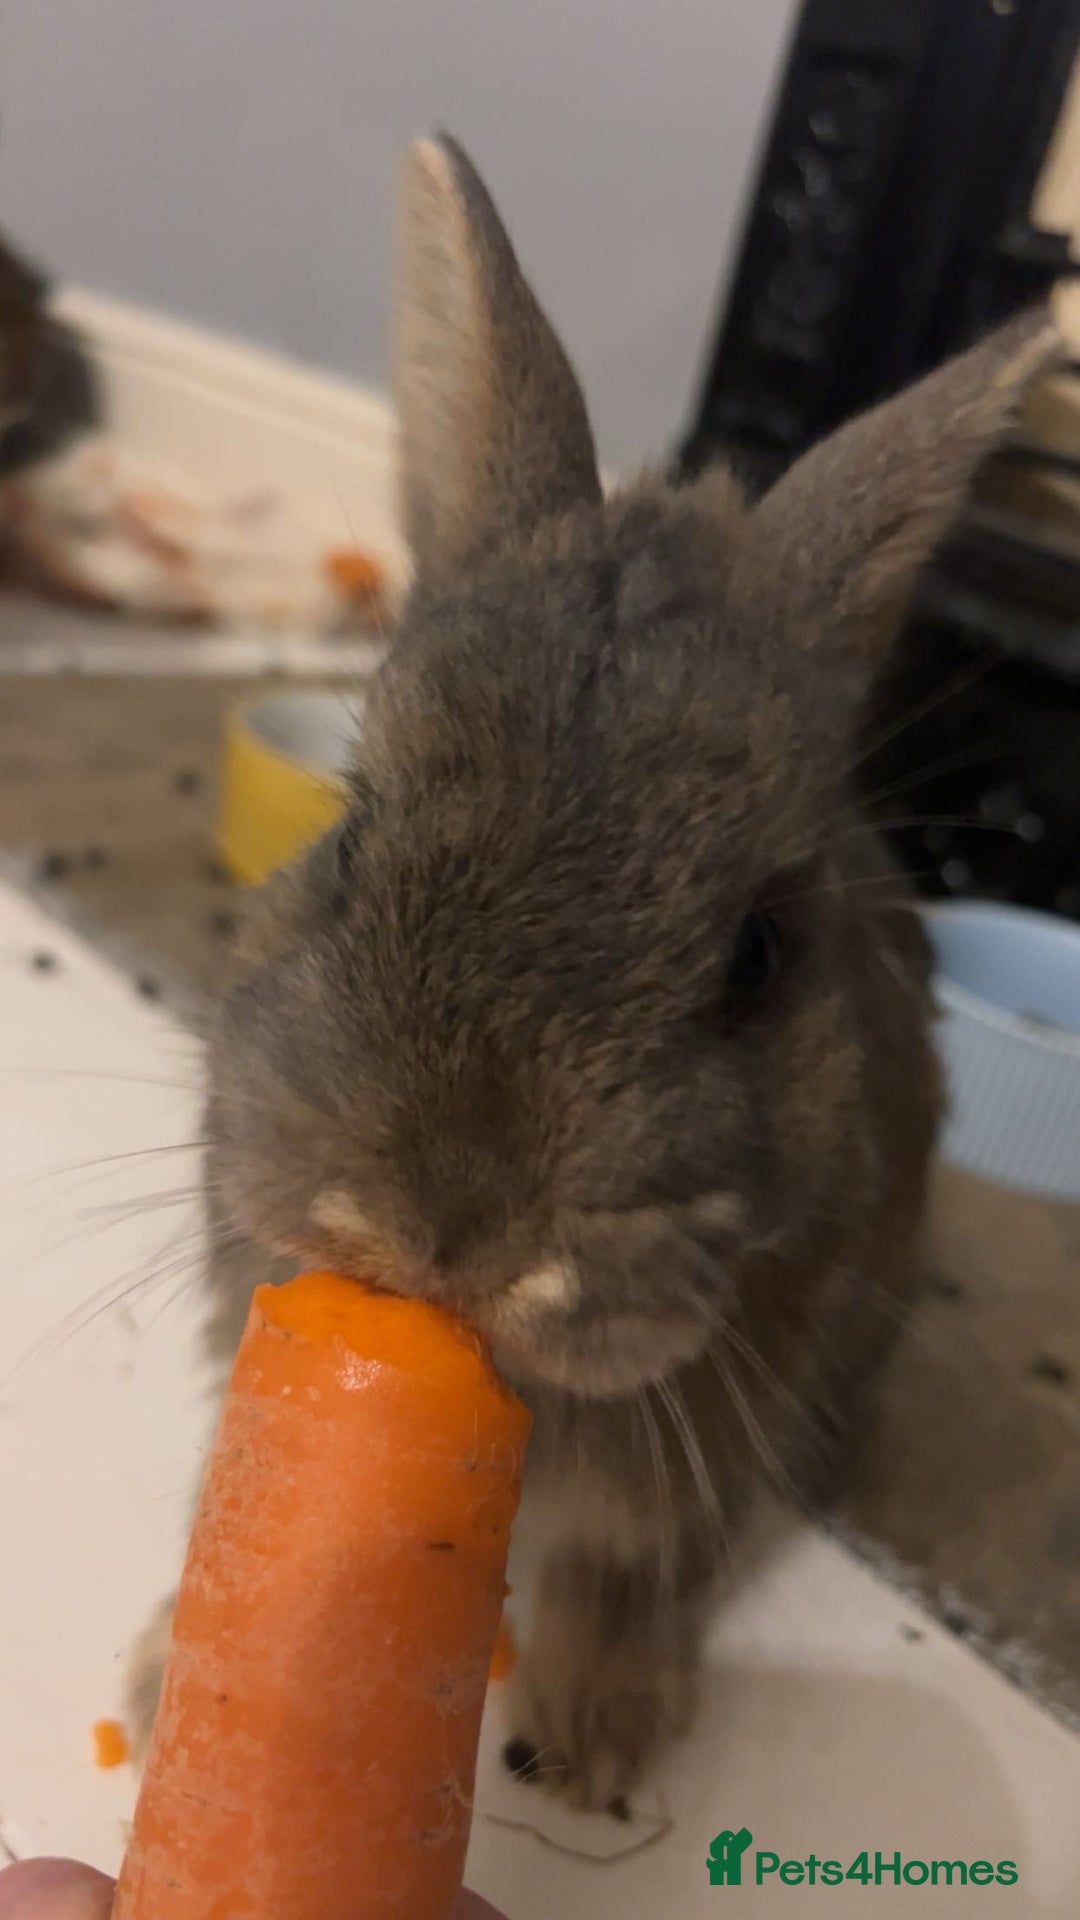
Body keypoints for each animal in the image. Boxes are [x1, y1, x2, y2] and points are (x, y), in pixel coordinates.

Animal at [130, 135, 1057, 1812]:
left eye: (761, 952)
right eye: (354, 830)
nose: (451, 1230)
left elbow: (627, 1563)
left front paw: (596, 1742)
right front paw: (158, 1664)